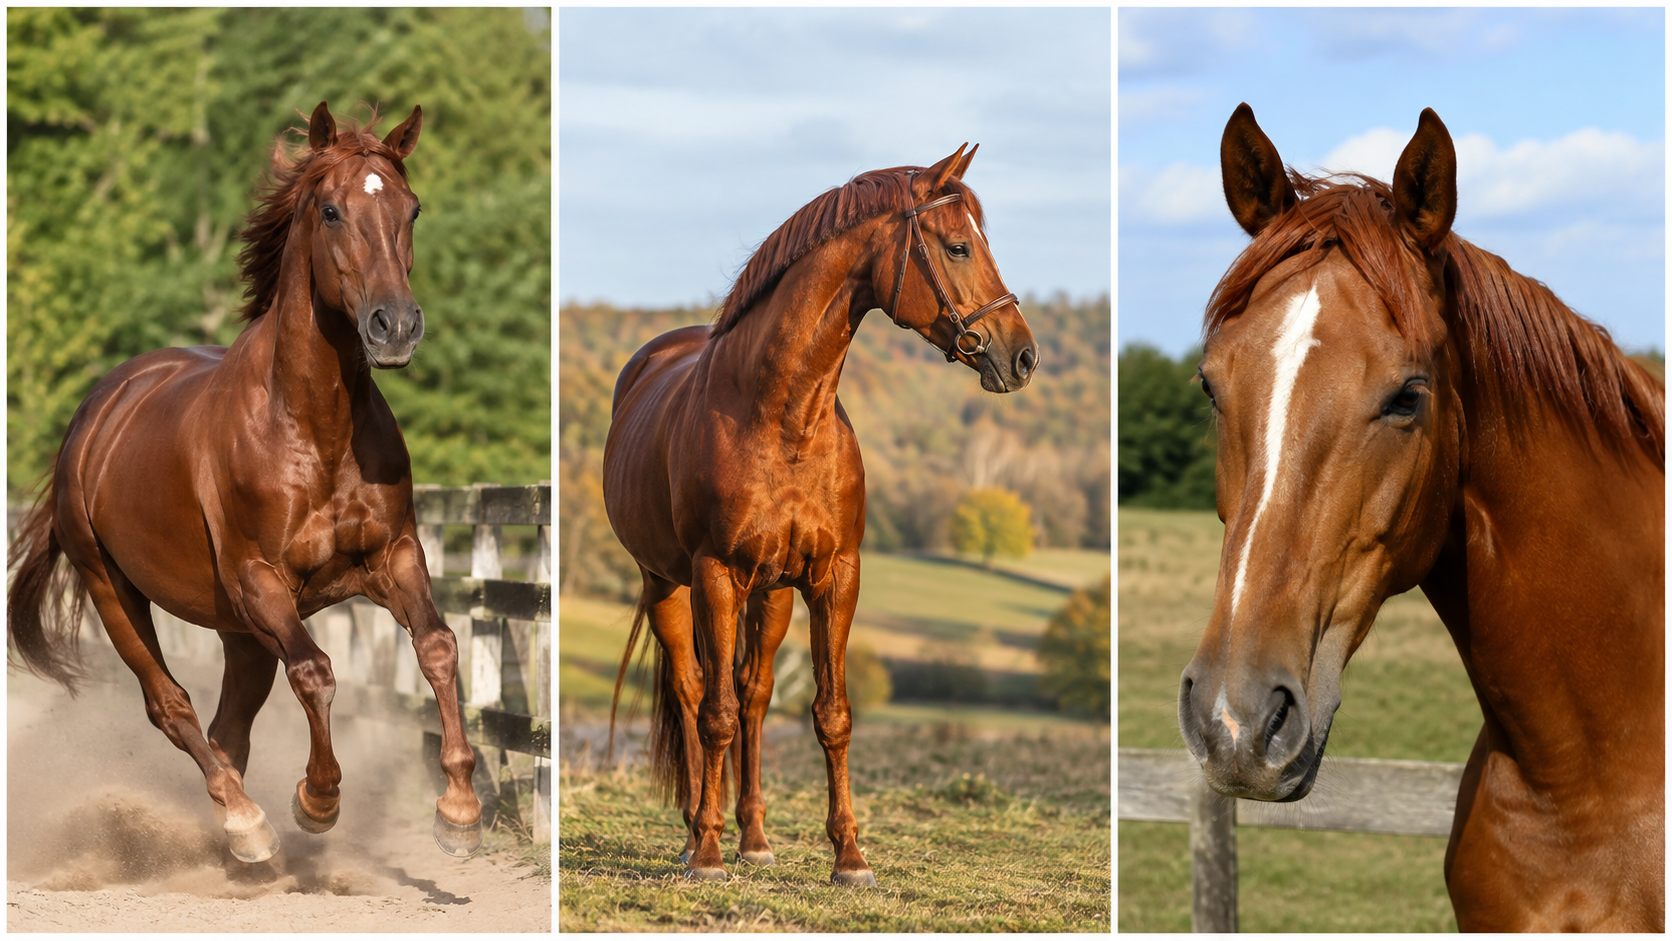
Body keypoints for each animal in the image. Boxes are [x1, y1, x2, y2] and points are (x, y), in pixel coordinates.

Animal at [7, 102, 484, 864]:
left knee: (230, 724)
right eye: (330, 210)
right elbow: (316, 671)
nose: (395, 326)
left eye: (412, 208)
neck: (314, 427)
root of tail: (96, 411)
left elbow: (438, 645)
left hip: (240, 631)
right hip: (115, 589)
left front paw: (459, 808)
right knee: (172, 705)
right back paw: (244, 822)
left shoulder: (393, 557)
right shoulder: (261, 580)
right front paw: (317, 799)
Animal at [602, 146, 1038, 885]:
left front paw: (849, 856)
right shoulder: (714, 574)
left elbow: (830, 713)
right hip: (667, 584)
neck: (783, 417)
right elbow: (714, 713)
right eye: (957, 245)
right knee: (694, 693)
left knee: (754, 691)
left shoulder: (834, 576)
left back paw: (753, 836)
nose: (1023, 355)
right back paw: (694, 835)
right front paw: (709, 854)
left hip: (771, 592)